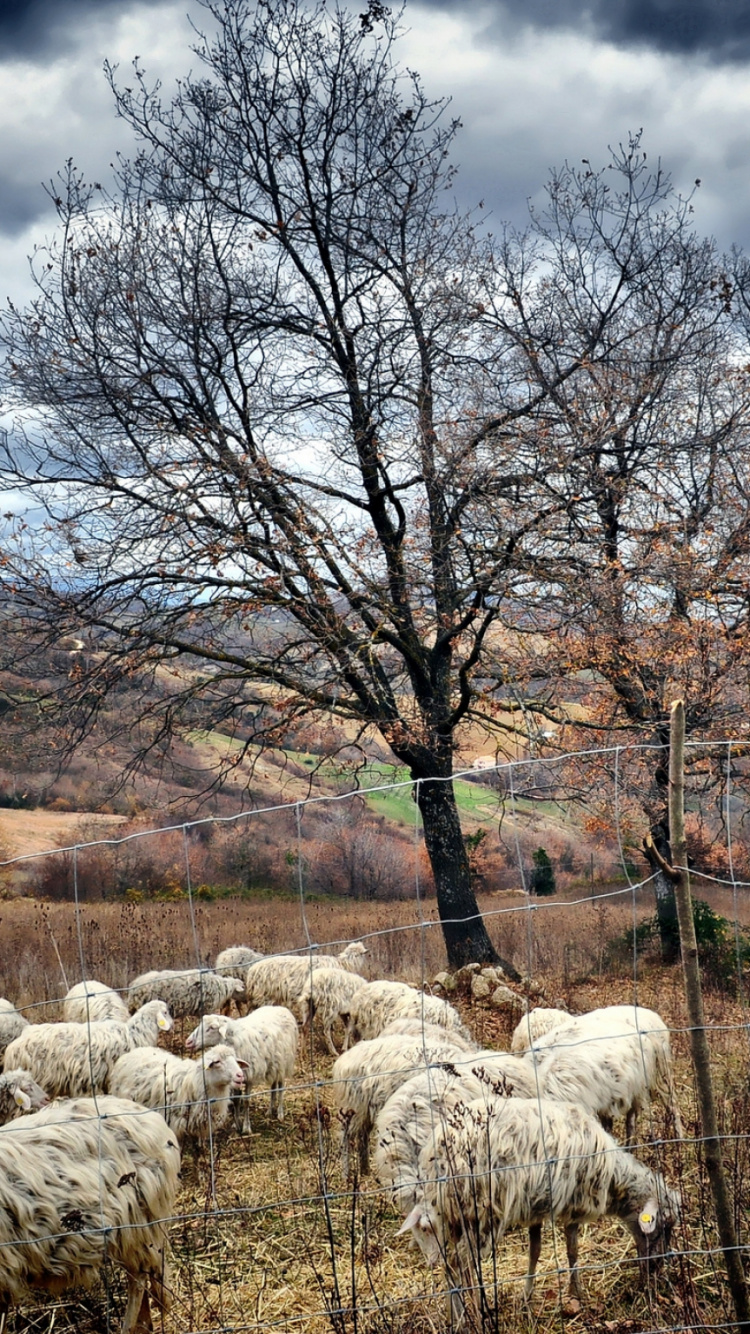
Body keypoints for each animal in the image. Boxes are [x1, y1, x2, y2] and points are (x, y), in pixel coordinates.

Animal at [398, 1094, 680, 1322]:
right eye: (664, 1225)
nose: (657, 1268)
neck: (614, 1178)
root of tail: (439, 1151)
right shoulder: (573, 1205)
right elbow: (572, 1251)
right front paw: (576, 1294)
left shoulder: (535, 1207)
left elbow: (534, 1252)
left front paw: (527, 1297)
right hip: (481, 1211)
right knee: (462, 1263)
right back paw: (472, 1316)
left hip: (455, 1216)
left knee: (451, 1265)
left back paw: (458, 1316)